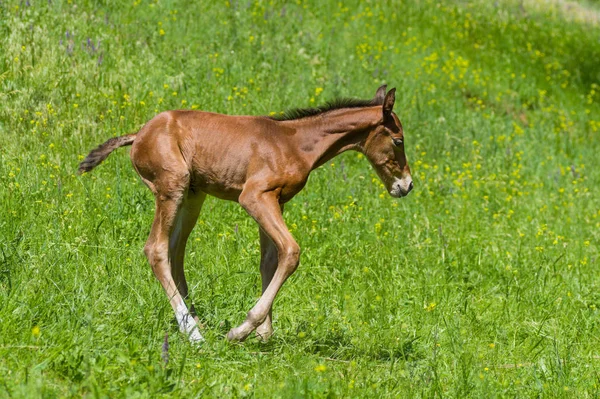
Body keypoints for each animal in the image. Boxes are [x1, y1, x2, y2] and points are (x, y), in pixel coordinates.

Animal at [79, 86, 412, 346]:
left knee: (176, 251)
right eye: (398, 140)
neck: (294, 142)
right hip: (171, 186)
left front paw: (264, 334)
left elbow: (270, 260)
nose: (406, 185)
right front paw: (241, 331)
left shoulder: (276, 201)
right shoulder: (254, 197)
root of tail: (139, 134)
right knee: (156, 249)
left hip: (192, 196)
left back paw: (195, 322)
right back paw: (194, 334)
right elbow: (291, 252)